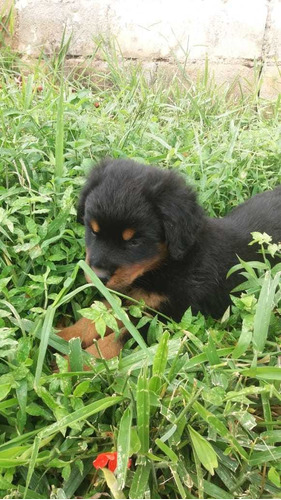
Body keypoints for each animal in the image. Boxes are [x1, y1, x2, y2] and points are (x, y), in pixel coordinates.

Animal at [58, 159, 280, 360]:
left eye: (135, 242)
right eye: (93, 231)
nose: (98, 276)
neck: (168, 264)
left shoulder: (173, 315)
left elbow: (126, 333)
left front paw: (82, 362)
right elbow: (102, 312)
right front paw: (65, 336)